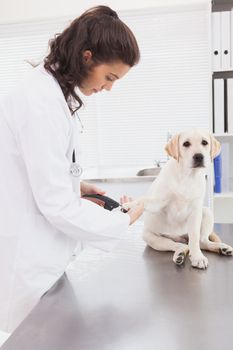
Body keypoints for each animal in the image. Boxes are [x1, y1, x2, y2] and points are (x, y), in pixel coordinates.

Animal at [124, 130, 232, 270]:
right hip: (150, 237)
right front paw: (129, 205)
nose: (199, 156)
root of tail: (181, 238)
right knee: (180, 245)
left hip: (207, 213)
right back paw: (180, 253)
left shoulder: (195, 211)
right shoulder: (159, 202)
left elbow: (195, 237)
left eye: (204, 142)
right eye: (186, 144)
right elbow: (143, 200)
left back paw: (221, 248)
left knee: (201, 241)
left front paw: (197, 257)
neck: (187, 176)